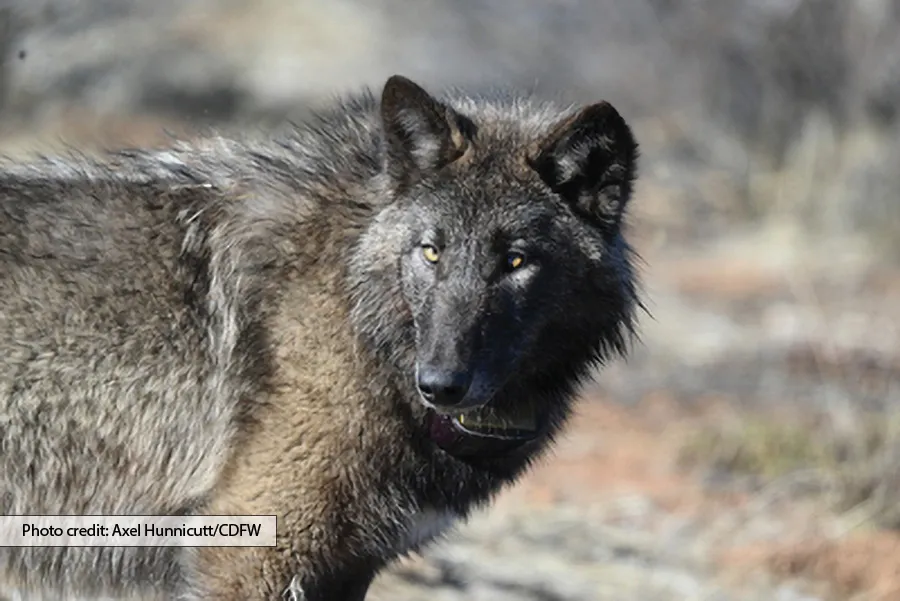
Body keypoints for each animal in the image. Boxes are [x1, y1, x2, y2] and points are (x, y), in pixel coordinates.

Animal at [0, 74, 641, 600]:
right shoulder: (253, 556)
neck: (358, 314)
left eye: (515, 261)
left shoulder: (345, 566)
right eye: (431, 251)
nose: (440, 385)